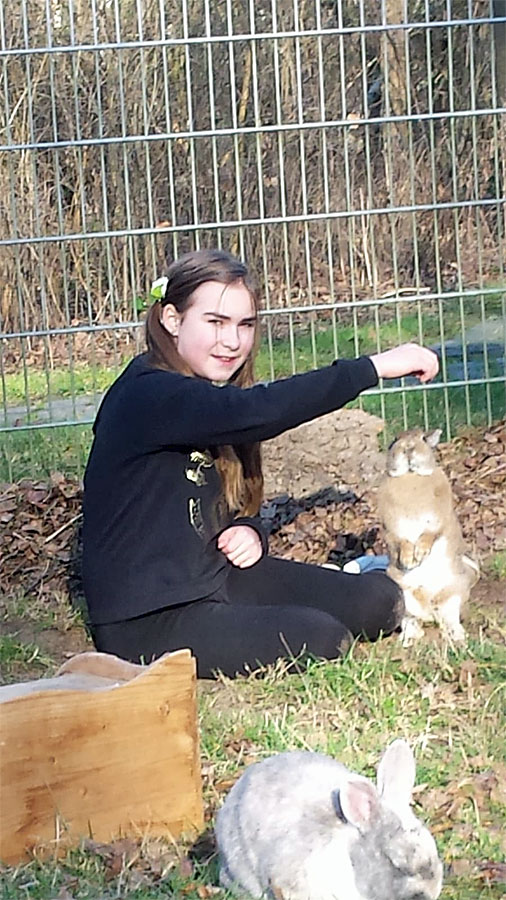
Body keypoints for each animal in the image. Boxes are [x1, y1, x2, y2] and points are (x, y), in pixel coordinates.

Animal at [376, 428, 479, 645]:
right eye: (395, 440)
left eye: (423, 438)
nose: (408, 448)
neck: (411, 476)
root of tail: (428, 610)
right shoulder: (393, 527)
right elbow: (402, 540)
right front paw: (409, 559)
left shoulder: (437, 520)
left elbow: (429, 534)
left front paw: (420, 554)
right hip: (404, 598)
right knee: (411, 621)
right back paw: (409, 639)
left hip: (454, 592)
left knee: (449, 617)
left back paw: (458, 638)